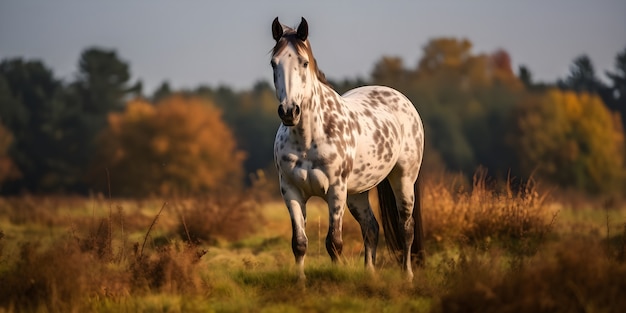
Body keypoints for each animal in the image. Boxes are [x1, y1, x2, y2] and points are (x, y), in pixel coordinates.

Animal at [268, 16, 424, 280]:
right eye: (273, 63)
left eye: (304, 62)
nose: (289, 111)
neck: (307, 139)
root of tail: (401, 99)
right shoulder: (291, 191)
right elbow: (299, 243)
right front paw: (300, 282)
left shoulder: (335, 190)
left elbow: (334, 242)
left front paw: (336, 279)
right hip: (357, 192)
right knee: (371, 227)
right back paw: (370, 275)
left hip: (403, 179)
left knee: (406, 228)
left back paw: (408, 276)